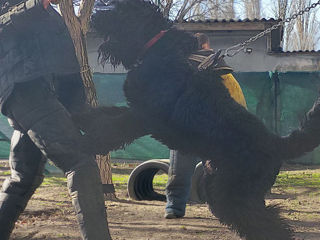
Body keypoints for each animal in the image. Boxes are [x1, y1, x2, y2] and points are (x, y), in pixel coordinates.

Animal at [75, 0, 320, 239]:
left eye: (122, 9)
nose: (95, 16)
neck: (155, 48)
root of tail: (277, 143)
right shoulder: (134, 110)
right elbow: (103, 114)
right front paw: (79, 116)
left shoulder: (143, 116)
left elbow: (111, 129)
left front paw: (84, 143)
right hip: (224, 190)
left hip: (234, 194)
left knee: (269, 226)